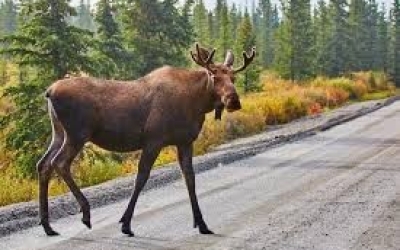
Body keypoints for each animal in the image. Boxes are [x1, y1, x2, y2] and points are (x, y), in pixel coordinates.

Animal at [38, 44, 256, 237]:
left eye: (233, 77)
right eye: (214, 76)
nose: (233, 100)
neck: (196, 104)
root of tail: (49, 91)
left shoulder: (185, 142)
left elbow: (190, 178)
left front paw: (202, 223)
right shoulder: (153, 140)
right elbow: (141, 178)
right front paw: (125, 223)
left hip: (59, 133)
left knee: (43, 164)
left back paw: (48, 226)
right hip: (77, 134)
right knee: (59, 163)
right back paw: (85, 213)